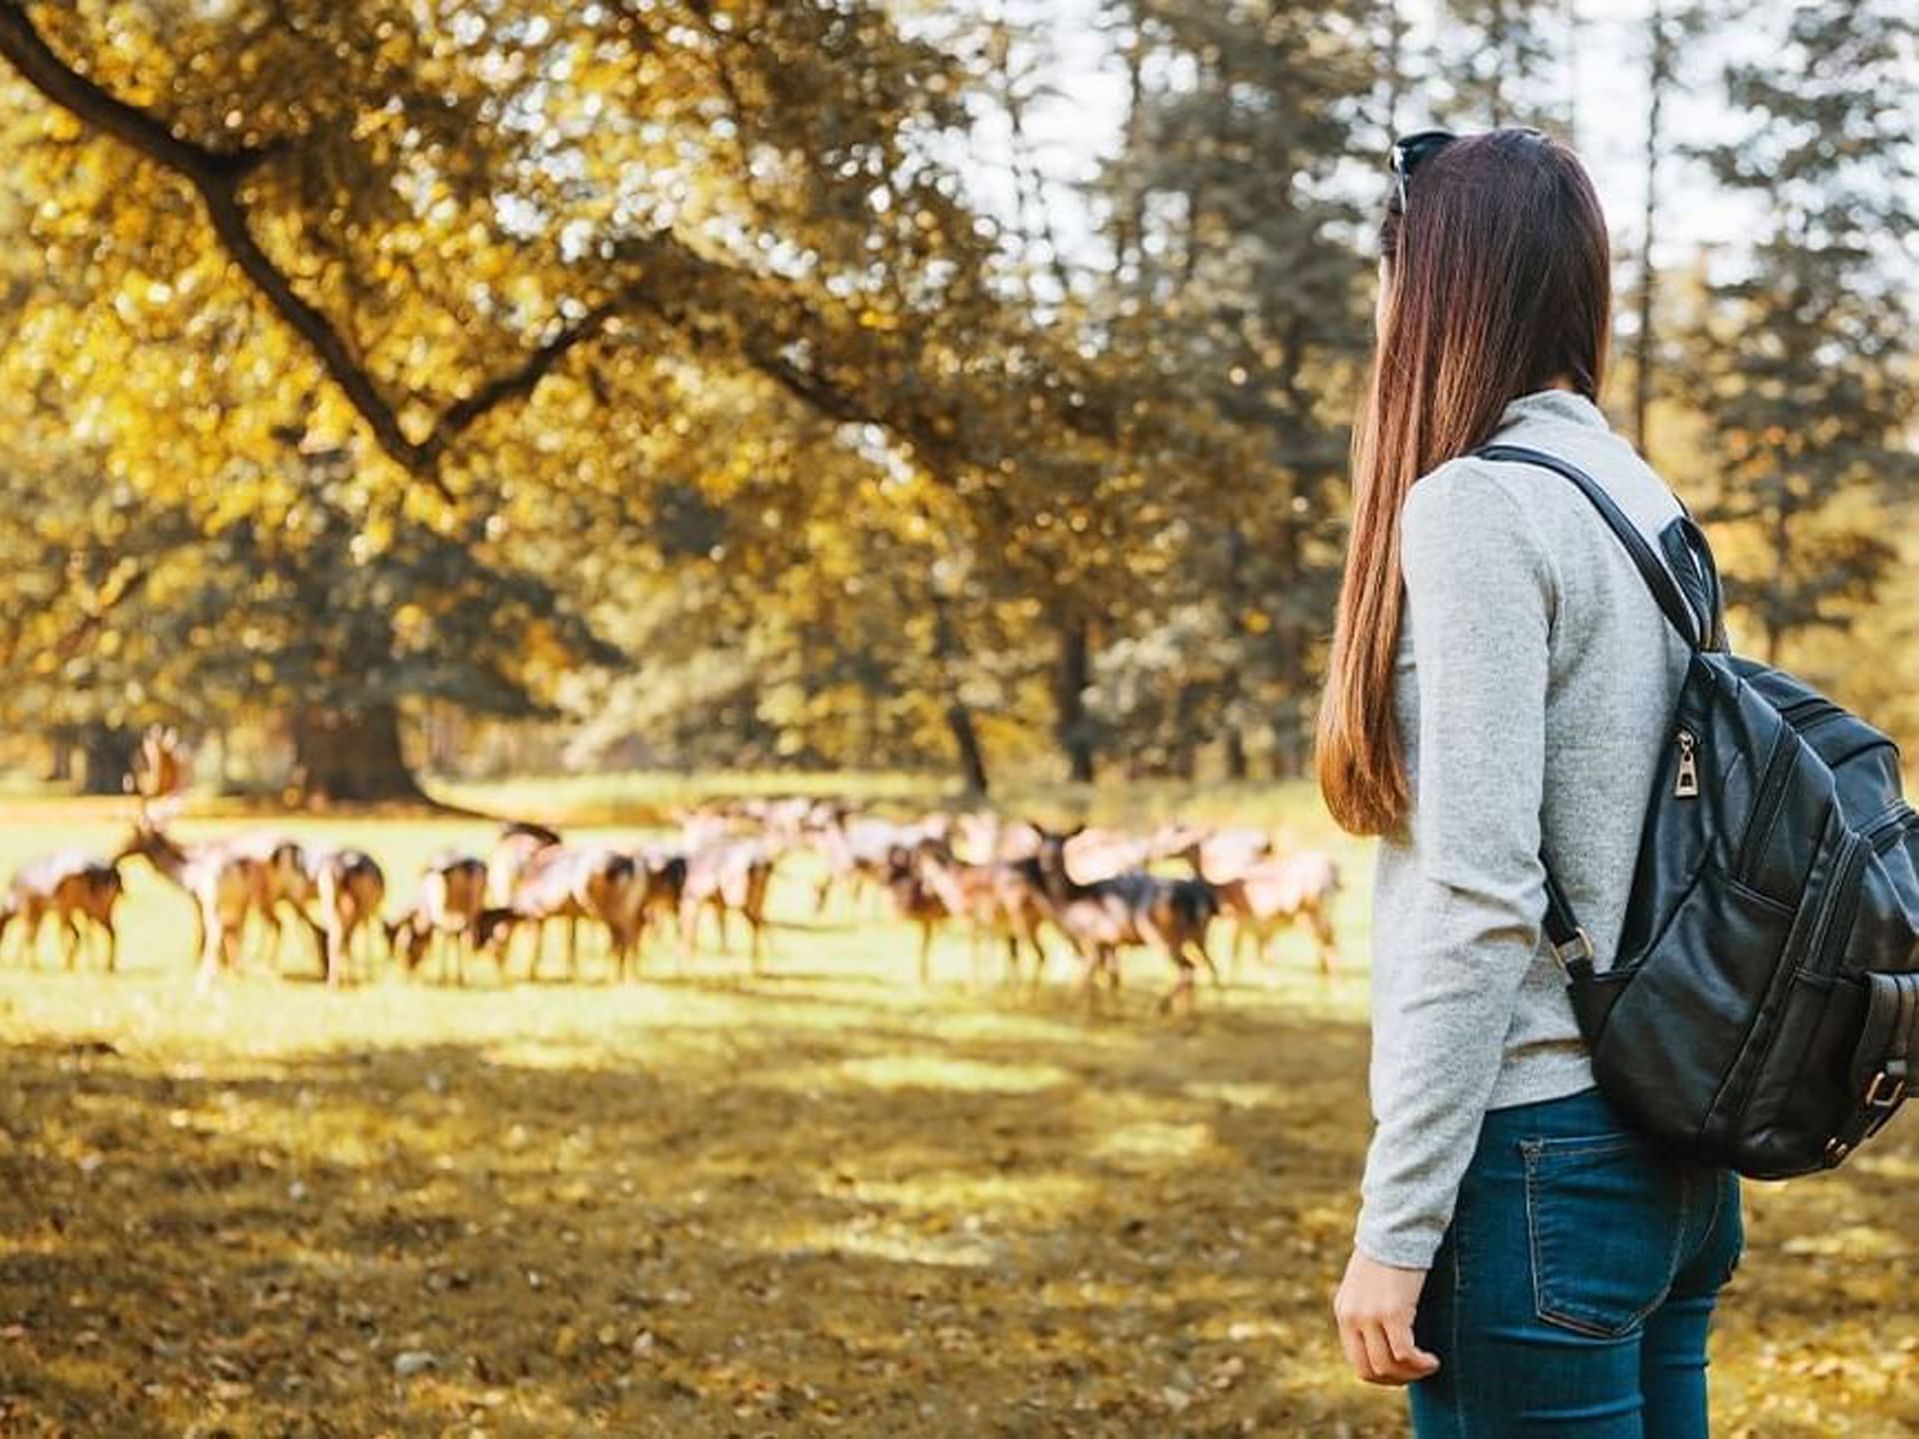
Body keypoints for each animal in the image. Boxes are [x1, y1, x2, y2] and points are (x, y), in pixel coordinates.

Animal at [1028, 828, 1220, 1020]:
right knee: (1196, 966)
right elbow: (1111, 977)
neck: (1071, 902)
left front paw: (1078, 1010)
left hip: (1161, 935)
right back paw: (1184, 1011)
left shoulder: (1091, 939)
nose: (1046, 863)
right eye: (1042, 843)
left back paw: (1159, 1008)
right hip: (1188, 937)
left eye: (1063, 843)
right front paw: (1105, 1009)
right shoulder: (1108, 943)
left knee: (1188, 968)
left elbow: (1085, 979)